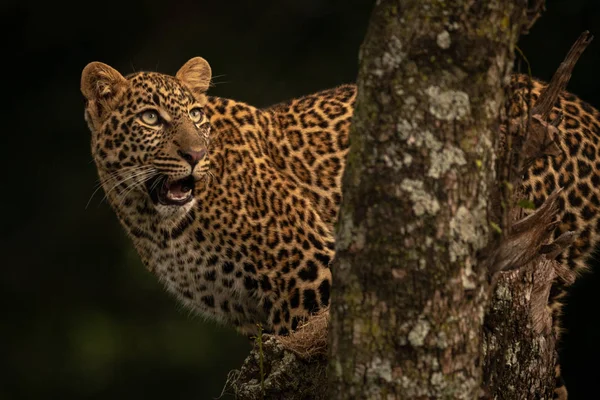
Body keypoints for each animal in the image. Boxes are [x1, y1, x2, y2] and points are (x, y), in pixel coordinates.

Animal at [81, 57, 600, 400]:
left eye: (195, 116)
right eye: (151, 118)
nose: (195, 155)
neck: (155, 222)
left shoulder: (309, 272)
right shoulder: (251, 313)